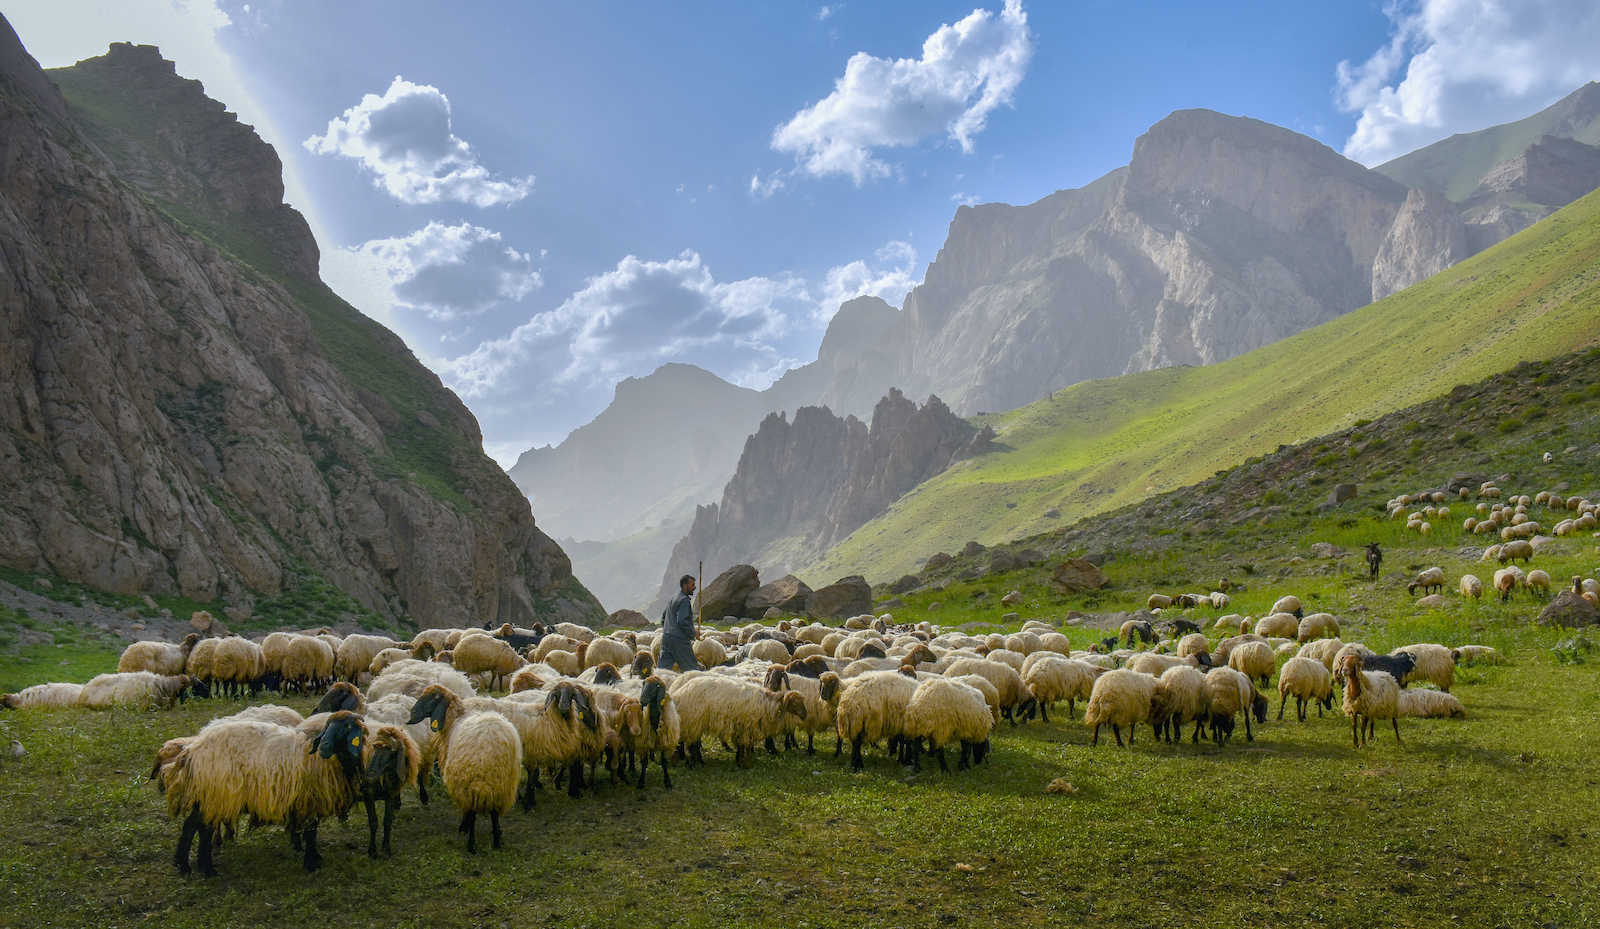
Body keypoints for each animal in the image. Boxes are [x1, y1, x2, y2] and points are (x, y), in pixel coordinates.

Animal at [166, 709, 371, 876]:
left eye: (348, 726)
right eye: (327, 726)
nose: (324, 745)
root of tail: (191, 750)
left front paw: (314, 856)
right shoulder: (310, 801)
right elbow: (310, 833)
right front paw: (311, 863)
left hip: (208, 795)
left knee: (193, 826)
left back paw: (188, 866)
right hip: (217, 794)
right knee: (201, 829)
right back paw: (205, 869)